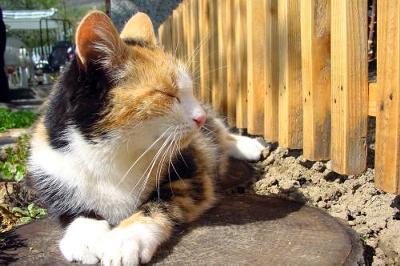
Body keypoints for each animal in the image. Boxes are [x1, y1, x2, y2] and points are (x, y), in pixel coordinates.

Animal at [28, 10, 266, 266]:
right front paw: (86, 238)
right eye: (167, 94)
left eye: (189, 91)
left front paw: (124, 240)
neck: (113, 152)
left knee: (220, 133)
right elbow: (70, 209)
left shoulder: (192, 173)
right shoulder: (50, 168)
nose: (199, 117)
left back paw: (249, 146)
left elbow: (158, 204)